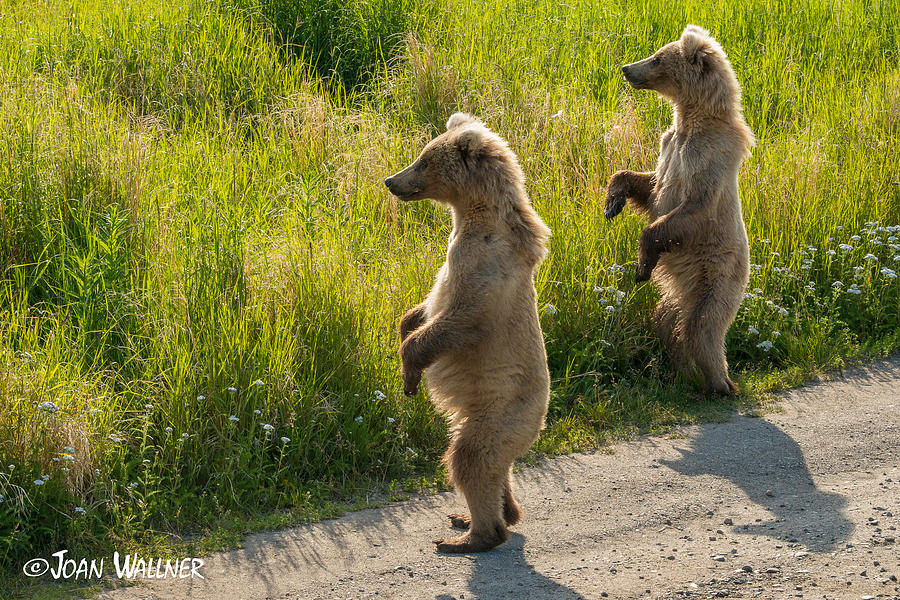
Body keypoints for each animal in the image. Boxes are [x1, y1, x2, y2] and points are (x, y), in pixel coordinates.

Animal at [384, 112, 552, 552]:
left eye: (424, 160)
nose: (391, 180)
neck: (475, 218)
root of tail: (540, 424)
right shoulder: (452, 255)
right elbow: (425, 307)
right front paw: (406, 325)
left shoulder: (485, 268)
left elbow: (456, 320)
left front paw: (410, 375)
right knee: (495, 470)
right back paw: (492, 514)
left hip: (500, 412)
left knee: (469, 460)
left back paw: (470, 536)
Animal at [600, 25, 756, 396]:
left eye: (657, 58)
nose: (627, 68)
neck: (691, 120)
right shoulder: (668, 145)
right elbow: (648, 182)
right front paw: (612, 203)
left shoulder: (707, 158)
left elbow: (690, 207)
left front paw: (642, 267)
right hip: (679, 293)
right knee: (667, 321)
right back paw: (679, 372)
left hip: (719, 276)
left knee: (703, 327)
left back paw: (720, 383)